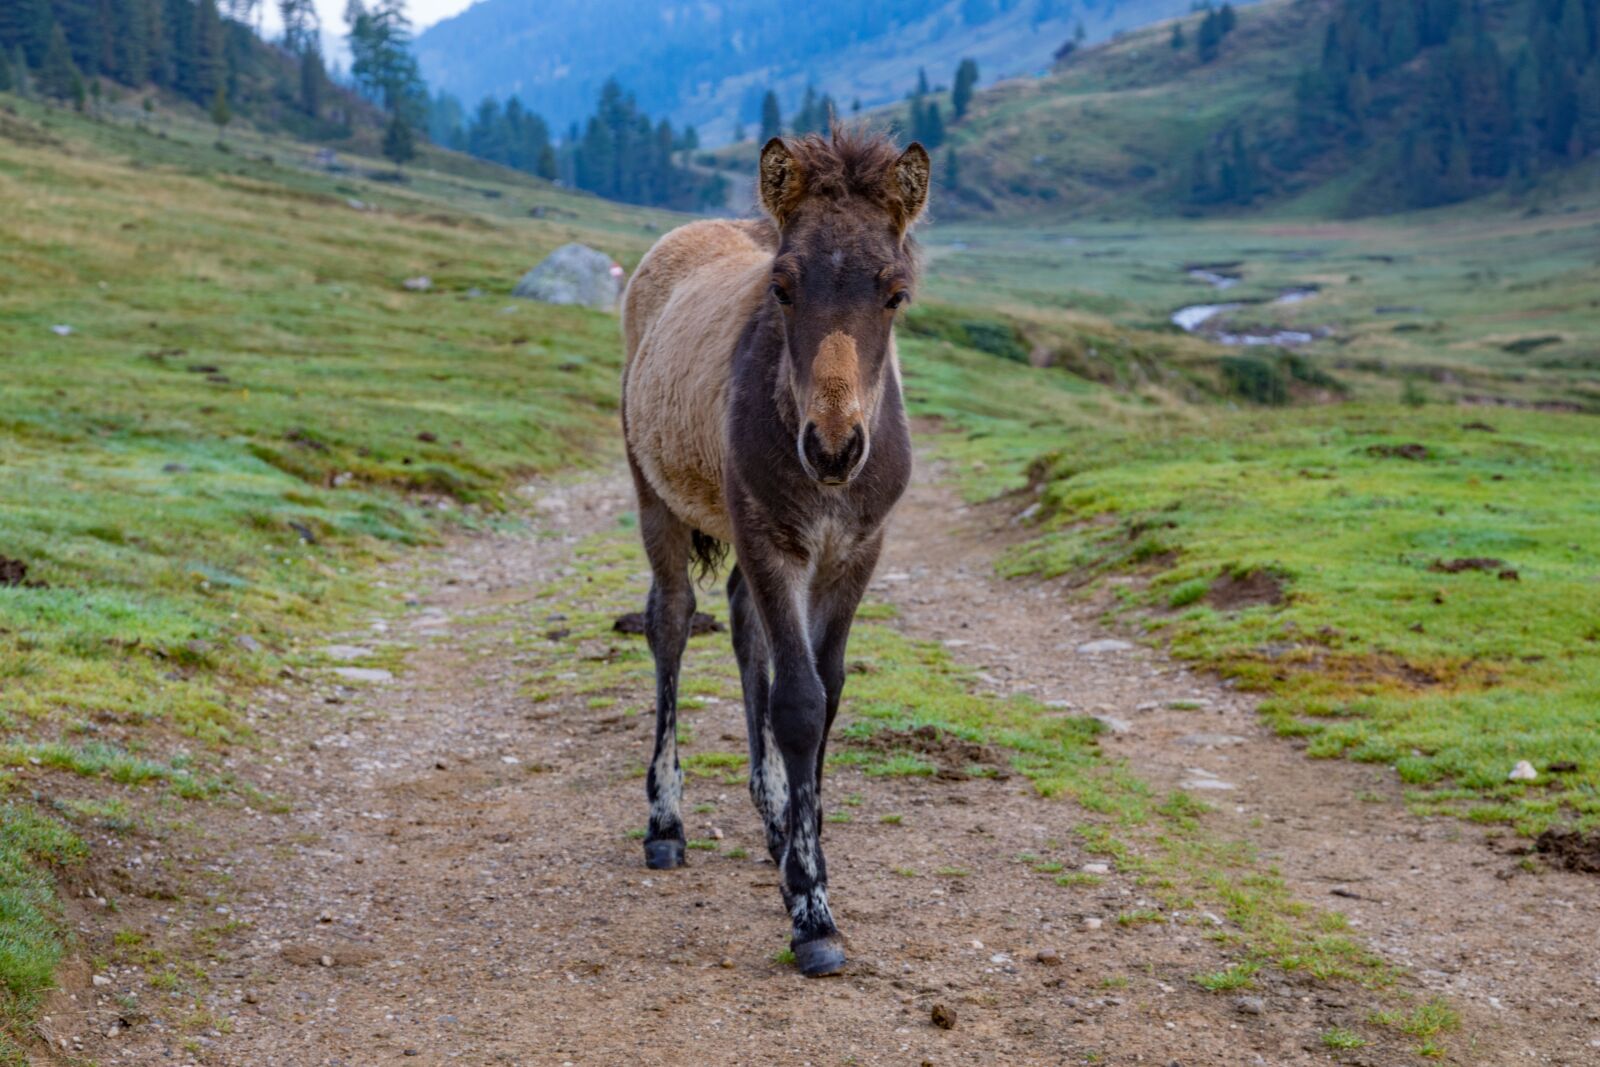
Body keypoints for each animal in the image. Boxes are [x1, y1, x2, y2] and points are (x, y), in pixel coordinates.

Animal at [619, 128, 930, 976]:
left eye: (895, 292)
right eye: (783, 287)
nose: (833, 449)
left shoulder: (856, 551)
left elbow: (828, 693)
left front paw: (797, 841)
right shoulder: (769, 538)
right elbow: (797, 702)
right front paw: (811, 911)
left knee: (739, 623)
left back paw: (770, 815)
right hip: (655, 495)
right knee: (672, 620)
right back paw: (667, 822)